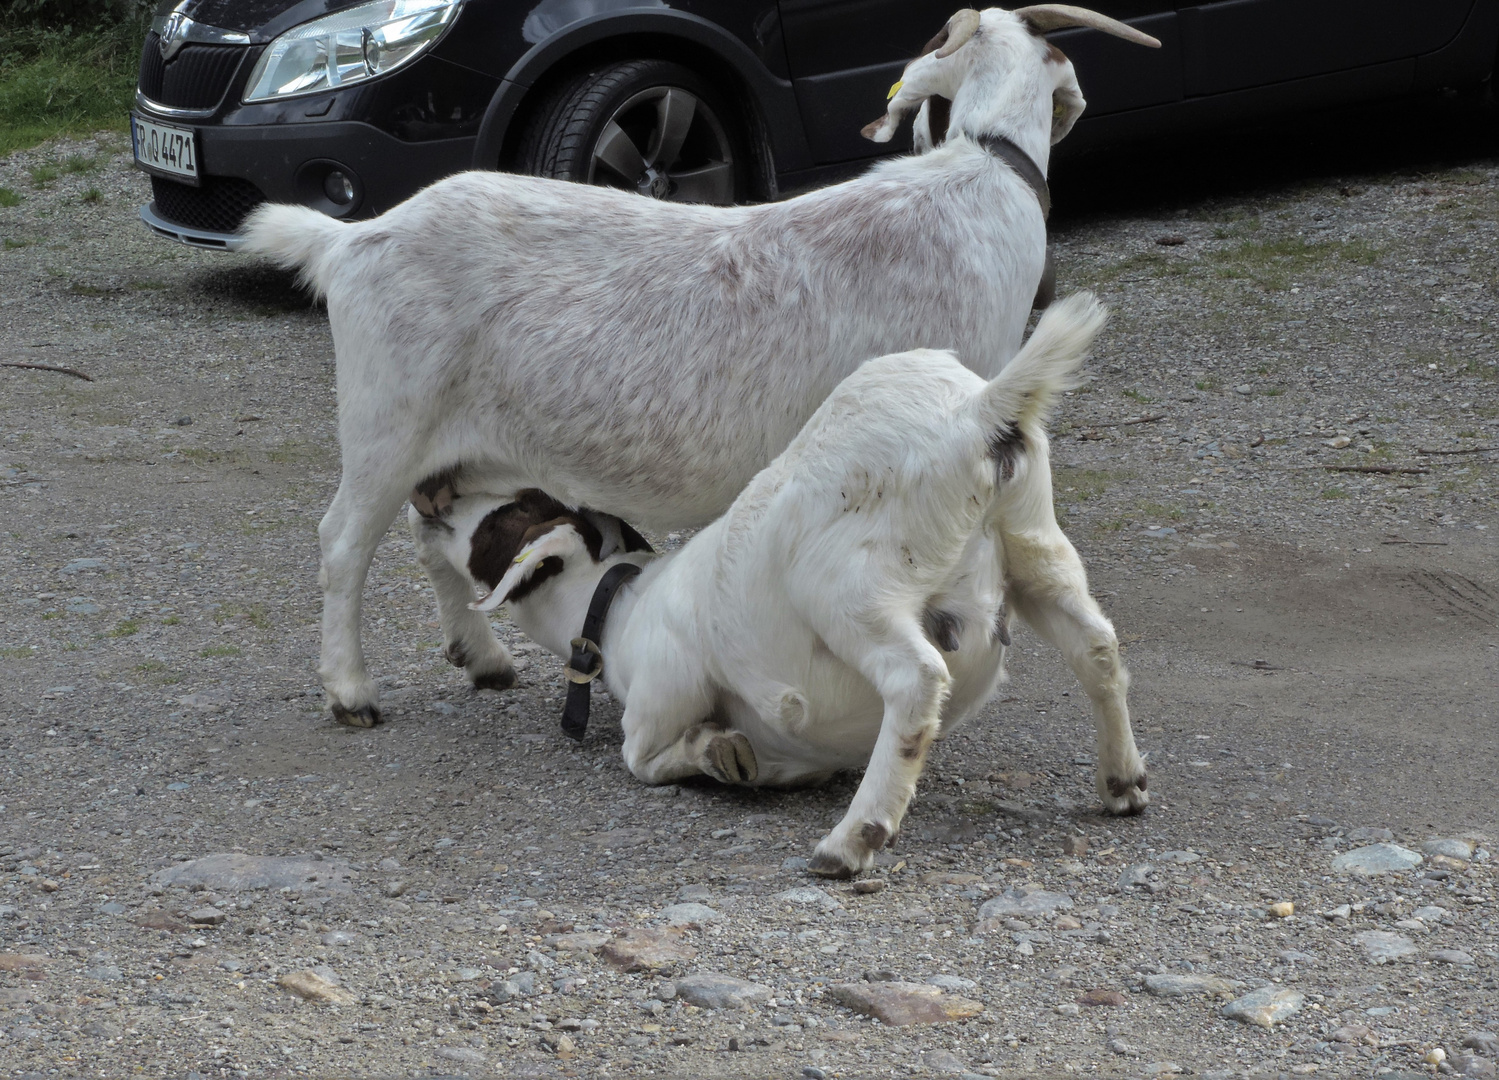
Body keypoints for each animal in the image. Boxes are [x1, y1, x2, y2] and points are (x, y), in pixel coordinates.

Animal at [242, 4, 1157, 729]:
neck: (980, 176)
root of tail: (350, 240)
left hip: (461, 443)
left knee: (432, 534)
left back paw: (483, 658)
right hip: (385, 417)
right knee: (342, 542)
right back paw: (351, 693)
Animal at [416, 291, 1139, 876]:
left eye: (501, 520)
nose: (434, 495)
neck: (622, 605)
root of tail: (977, 412)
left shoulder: (660, 696)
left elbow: (641, 758)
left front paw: (720, 755)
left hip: (848, 588)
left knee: (916, 680)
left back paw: (851, 840)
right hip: (1035, 546)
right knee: (1096, 645)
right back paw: (1122, 781)